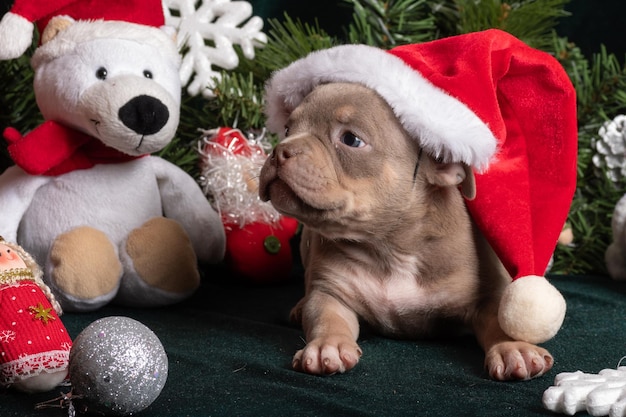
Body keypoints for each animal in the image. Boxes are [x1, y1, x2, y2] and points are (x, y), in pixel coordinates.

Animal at [258, 81, 552, 380]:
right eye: (287, 130)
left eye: (351, 139)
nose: (279, 151)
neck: (389, 246)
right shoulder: (330, 291)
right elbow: (327, 318)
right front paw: (327, 345)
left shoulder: (488, 296)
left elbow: (500, 320)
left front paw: (513, 348)